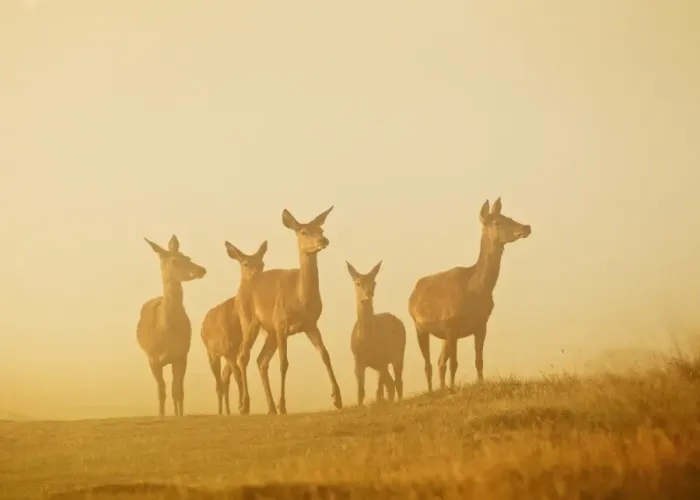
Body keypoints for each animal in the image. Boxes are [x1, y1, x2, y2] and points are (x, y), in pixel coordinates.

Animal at [136, 235, 207, 417]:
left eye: (188, 257)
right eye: (175, 261)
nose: (201, 270)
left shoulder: (181, 355)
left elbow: (178, 391)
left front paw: (179, 415)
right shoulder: (152, 358)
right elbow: (161, 391)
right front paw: (161, 415)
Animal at [200, 240, 268, 415]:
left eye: (262, 263)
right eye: (245, 263)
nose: (257, 276)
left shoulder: (235, 349)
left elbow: (238, 370)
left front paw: (242, 405)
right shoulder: (227, 349)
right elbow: (237, 374)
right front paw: (243, 405)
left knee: (224, 378)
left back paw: (228, 410)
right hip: (212, 352)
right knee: (218, 382)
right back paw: (220, 412)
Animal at [236, 206, 343, 415]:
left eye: (321, 229)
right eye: (303, 231)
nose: (323, 241)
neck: (300, 298)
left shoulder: (311, 324)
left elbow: (325, 354)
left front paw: (337, 399)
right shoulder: (281, 323)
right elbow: (283, 363)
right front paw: (283, 405)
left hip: (269, 331)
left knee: (261, 360)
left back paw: (270, 408)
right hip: (249, 320)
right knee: (243, 355)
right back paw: (245, 406)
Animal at [346, 260, 406, 406]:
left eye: (374, 282)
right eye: (358, 283)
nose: (369, 293)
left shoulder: (382, 359)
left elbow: (384, 389)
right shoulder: (358, 360)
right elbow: (361, 392)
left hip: (399, 354)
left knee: (396, 382)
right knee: (389, 384)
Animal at [408, 198, 531, 393]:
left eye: (509, 217)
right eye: (497, 222)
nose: (526, 227)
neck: (475, 290)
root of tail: (411, 296)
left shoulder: (481, 324)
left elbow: (478, 361)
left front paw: (479, 384)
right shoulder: (451, 324)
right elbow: (455, 363)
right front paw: (453, 389)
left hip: (442, 335)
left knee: (440, 362)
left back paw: (441, 388)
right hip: (419, 326)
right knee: (429, 364)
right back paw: (432, 391)